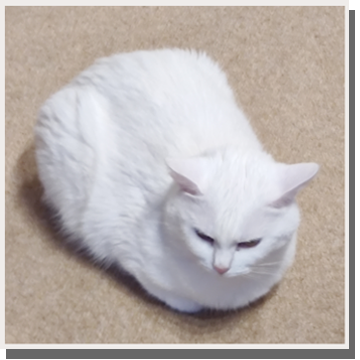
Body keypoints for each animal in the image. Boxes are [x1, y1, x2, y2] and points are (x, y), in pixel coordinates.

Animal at [35, 49, 320, 314]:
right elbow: (181, 300)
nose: (221, 267)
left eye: (249, 244)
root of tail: (94, 69)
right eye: (203, 237)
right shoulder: (122, 244)